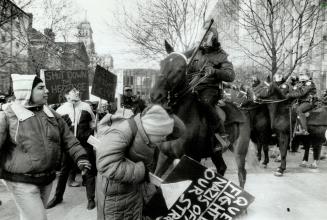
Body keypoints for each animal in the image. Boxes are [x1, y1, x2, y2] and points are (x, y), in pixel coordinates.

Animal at [151, 46, 251, 187]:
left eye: (181, 68)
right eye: (161, 63)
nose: (156, 95)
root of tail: (242, 109)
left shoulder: (192, 159)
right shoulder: (165, 156)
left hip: (240, 151)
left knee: (242, 174)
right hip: (215, 153)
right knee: (221, 168)